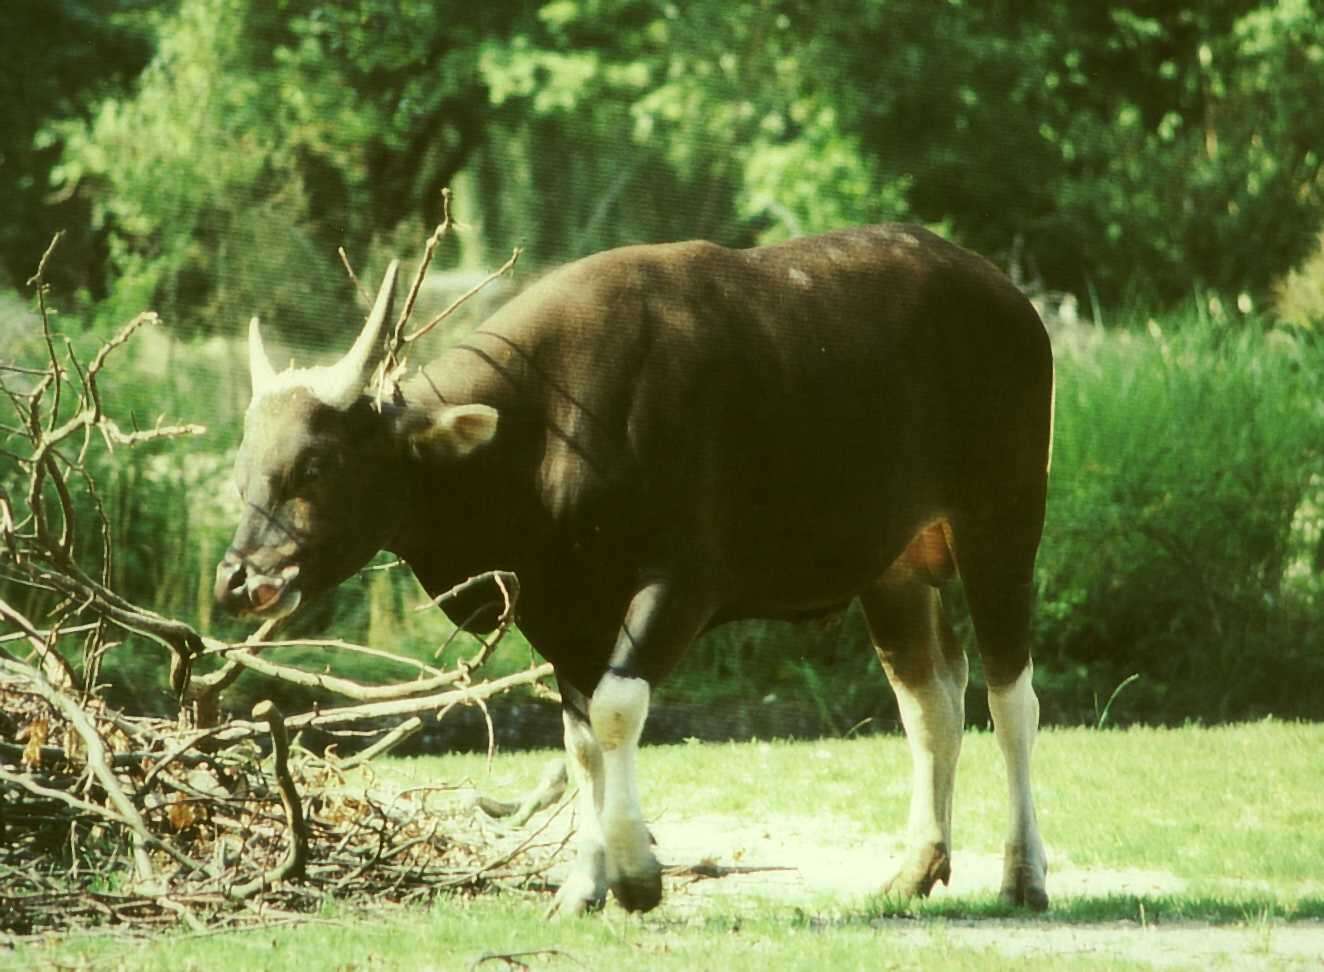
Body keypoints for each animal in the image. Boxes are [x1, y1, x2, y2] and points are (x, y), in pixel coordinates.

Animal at [219, 226, 1064, 911]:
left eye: (316, 464)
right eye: (244, 464)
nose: (238, 579)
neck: (548, 426)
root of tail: (1009, 299)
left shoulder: (682, 585)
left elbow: (618, 710)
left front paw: (634, 874)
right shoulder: (561, 610)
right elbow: (582, 739)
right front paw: (584, 884)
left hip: (1002, 524)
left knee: (1010, 698)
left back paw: (1023, 873)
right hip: (894, 567)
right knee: (932, 701)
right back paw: (918, 866)